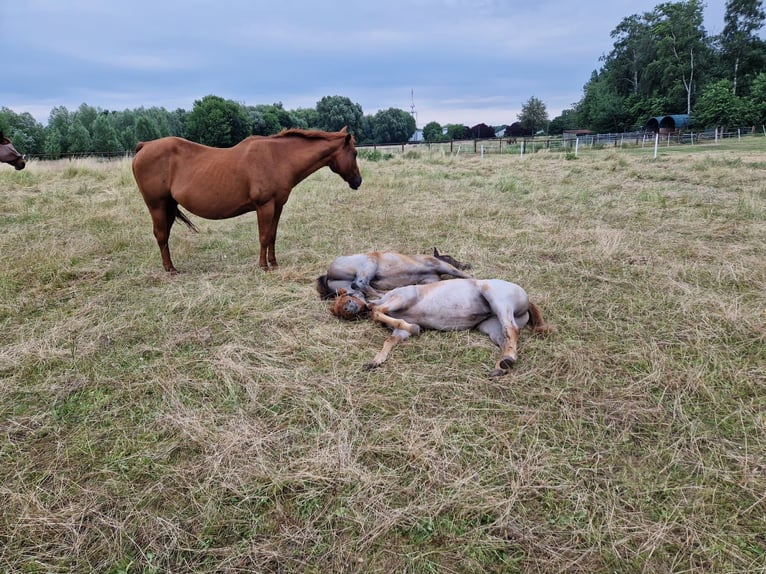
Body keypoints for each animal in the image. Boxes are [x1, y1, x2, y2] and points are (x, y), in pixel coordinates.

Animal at [132, 129, 364, 274]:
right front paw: (263, 266)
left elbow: (272, 236)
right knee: (161, 235)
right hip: (157, 205)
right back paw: (170, 269)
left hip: (169, 206)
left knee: (164, 236)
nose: (358, 181)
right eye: (354, 152)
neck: (278, 157)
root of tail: (144, 146)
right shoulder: (265, 206)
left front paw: (274, 264)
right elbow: (263, 236)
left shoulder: (277, 206)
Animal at [332, 280, 556, 378]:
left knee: (512, 329)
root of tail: (526, 299)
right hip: (490, 326)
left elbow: (377, 312)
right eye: (336, 309)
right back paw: (501, 365)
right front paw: (376, 360)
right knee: (505, 338)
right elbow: (390, 339)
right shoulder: (398, 333)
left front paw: (414, 327)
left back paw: (507, 361)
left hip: (497, 300)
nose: (347, 309)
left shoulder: (402, 298)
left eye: (346, 297)